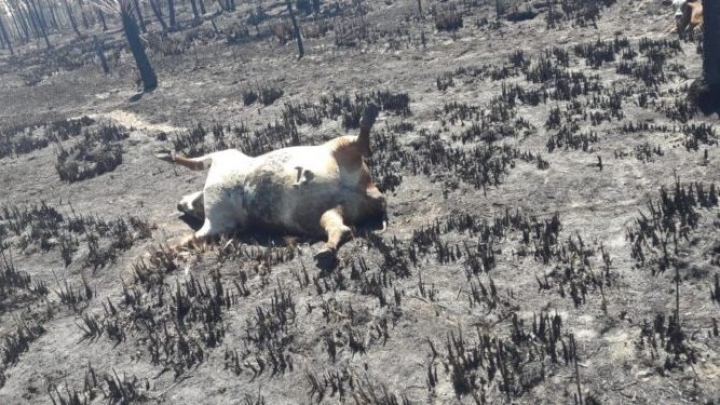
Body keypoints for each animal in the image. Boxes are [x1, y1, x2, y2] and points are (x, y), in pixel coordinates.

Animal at [155, 105, 386, 266]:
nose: (178, 204)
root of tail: (369, 191)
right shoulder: (219, 226)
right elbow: (190, 239)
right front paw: (162, 252)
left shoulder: (223, 156)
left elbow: (196, 162)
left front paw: (164, 155)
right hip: (329, 211)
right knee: (341, 228)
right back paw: (325, 252)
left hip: (335, 147)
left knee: (359, 145)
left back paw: (369, 113)